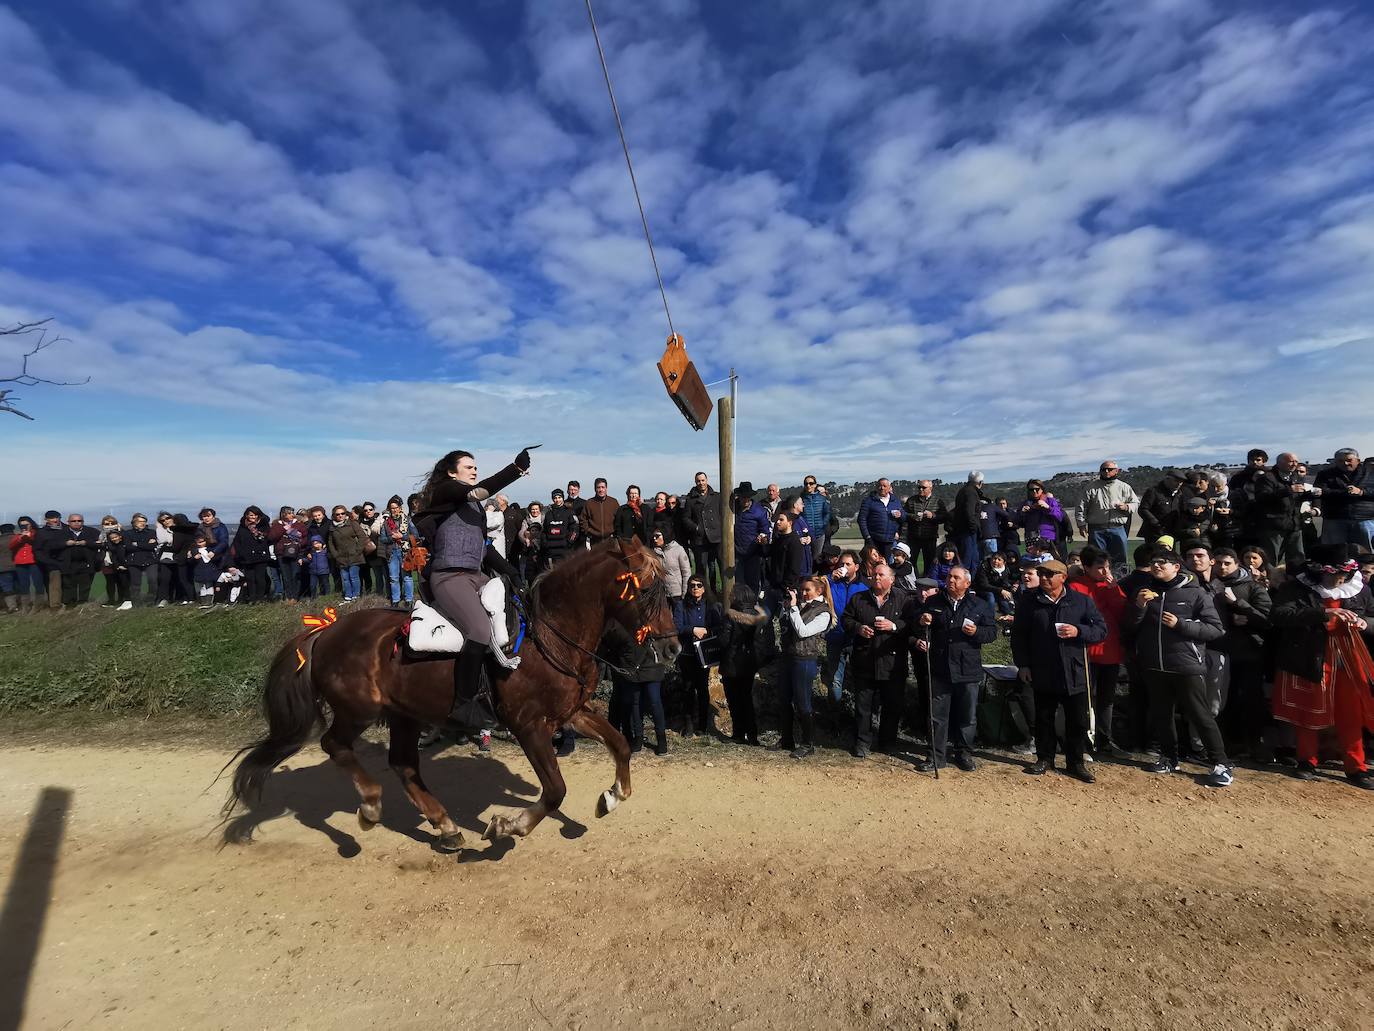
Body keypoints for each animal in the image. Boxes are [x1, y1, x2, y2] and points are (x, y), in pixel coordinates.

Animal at [222, 536, 684, 852]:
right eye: (646, 590)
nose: (673, 648)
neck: (551, 634)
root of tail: (326, 630)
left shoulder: (570, 712)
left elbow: (620, 743)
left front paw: (612, 796)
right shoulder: (529, 725)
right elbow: (554, 790)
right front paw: (510, 825)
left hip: (404, 713)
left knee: (403, 764)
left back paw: (443, 825)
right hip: (359, 710)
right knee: (335, 745)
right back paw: (370, 806)